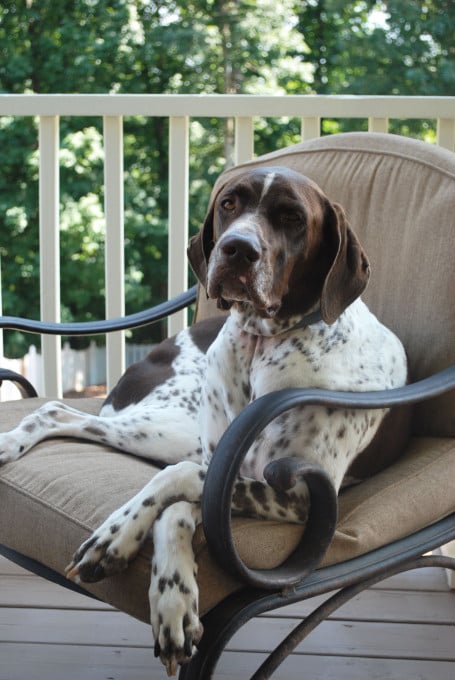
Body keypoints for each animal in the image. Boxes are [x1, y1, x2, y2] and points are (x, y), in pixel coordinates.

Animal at [0, 166, 410, 676]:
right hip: (166, 426)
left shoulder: (296, 497)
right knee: (56, 410)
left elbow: (176, 494)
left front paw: (137, 561)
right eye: (229, 204)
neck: (261, 345)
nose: (237, 249)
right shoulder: (228, 468)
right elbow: (175, 493)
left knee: (65, 414)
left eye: (293, 217)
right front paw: (147, 567)